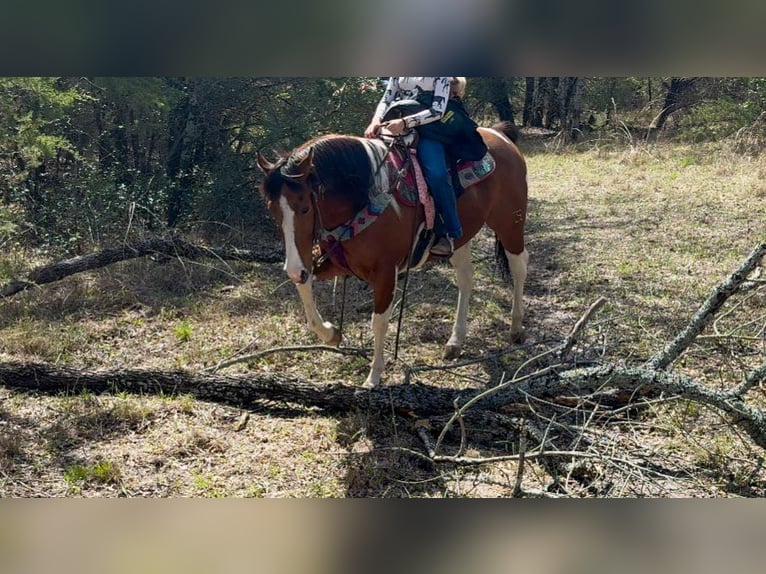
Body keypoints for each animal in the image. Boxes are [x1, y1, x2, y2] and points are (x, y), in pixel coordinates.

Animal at [256, 121, 528, 388]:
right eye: (272, 210)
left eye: (304, 208)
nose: (293, 269)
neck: (362, 198)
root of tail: (499, 134)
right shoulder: (331, 262)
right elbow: (305, 292)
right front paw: (331, 333)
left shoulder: (386, 272)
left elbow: (379, 322)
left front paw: (373, 376)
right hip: (461, 237)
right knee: (466, 278)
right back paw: (455, 342)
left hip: (509, 223)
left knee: (519, 265)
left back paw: (516, 328)